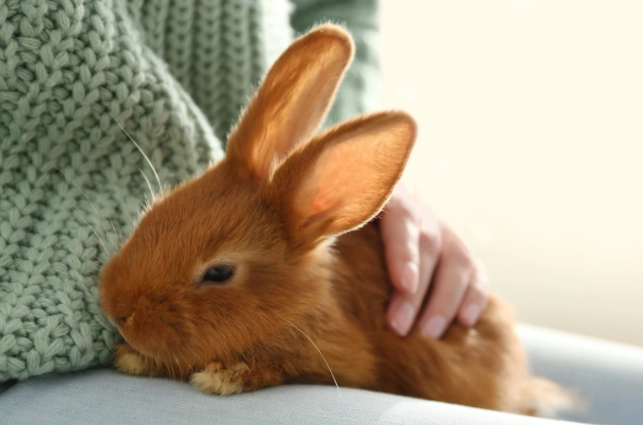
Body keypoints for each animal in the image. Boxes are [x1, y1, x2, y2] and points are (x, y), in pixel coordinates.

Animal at [98, 23, 573, 417]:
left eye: (219, 272)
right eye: (153, 213)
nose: (115, 309)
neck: (300, 302)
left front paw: (221, 377)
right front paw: (133, 356)